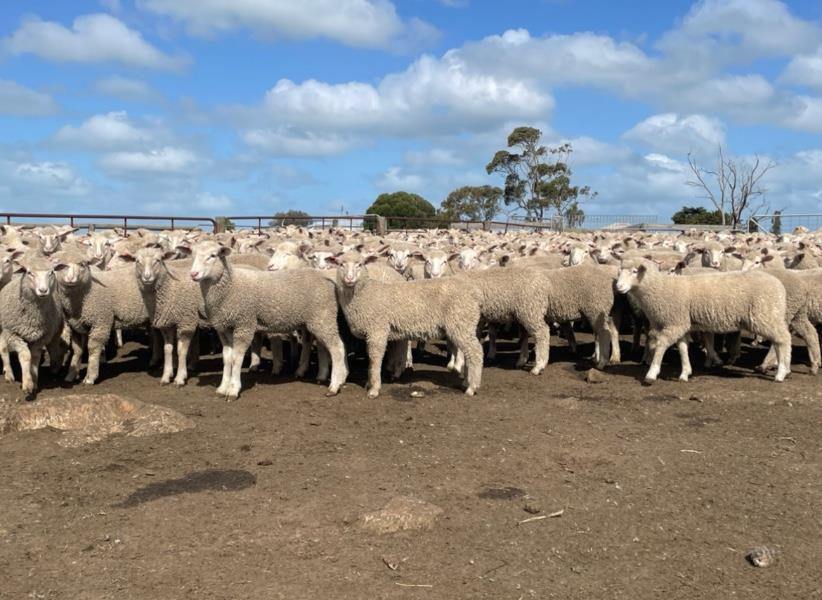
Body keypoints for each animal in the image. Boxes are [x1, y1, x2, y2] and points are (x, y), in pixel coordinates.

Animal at [0, 254, 64, 398]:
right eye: (30, 273)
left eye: (51, 272)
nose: (43, 290)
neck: (34, 316)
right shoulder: (13, 334)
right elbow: (25, 356)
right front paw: (27, 384)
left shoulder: (42, 337)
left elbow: (34, 357)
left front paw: (34, 381)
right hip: (5, 330)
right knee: (3, 349)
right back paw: (9, 374)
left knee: (53, 348)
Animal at [190, 239, 348, 398]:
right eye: (193, 254)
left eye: (213, 255)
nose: (193, 274)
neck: (230, 286)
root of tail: (325, 278)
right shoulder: (223, 328)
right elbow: (227, 358)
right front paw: (223, 387)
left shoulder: (244, 324)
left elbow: (237, 358)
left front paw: (233, 389)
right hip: (314, 320)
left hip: (323, 317)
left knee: (337, 348)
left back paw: (335, 385)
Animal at [326, 252, 486, 398]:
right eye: (341, 264)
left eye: (360, 264)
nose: (349, 278)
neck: (364, 293)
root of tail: (473, 294)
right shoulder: (371, 333)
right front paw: (369, 383)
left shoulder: (378, 329)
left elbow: (374, 359)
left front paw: (374, 388)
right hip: (464, 324)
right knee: (470, 353)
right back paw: (467, 381)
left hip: (461, 323)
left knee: (476, 352)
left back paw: (472, 387)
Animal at [616, 256, 792, 380]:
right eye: (620, 271)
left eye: (634, 271)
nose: (618, 287)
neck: (661, 288)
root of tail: (780, 287)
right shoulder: (681, 323)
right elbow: (682, 347)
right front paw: (685, 373)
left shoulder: (674, 323)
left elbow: (661, 345)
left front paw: (651, 373)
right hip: (771, 316)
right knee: (779, 341)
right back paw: (781, 368)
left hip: (764, 315)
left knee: (784, 338)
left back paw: (782, 372)